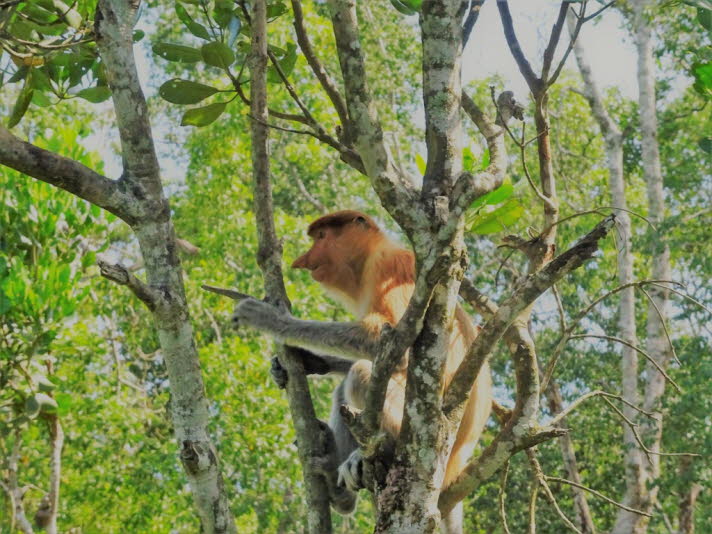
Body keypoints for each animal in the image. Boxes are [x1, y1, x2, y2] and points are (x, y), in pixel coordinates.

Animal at [233, 210, 492, 533]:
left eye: (322, 237)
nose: (302, 260)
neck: (369, 257)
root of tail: (456, 463)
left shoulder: (388, 268)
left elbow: (391, 342)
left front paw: (272, 320)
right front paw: (301, 363)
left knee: (359, 375)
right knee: (344, 390)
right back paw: (338, 487)